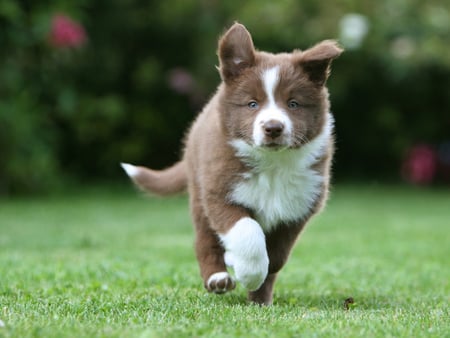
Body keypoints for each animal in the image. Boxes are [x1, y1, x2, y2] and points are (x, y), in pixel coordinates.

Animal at [121, 22, 342, 304]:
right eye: (252, 104)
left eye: (293, 104)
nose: (273, 128)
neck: (272, 164)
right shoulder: (219, 191)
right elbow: (247, 231)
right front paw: (249, 272)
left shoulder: (300, 205)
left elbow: (276, 255)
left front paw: (257, 286)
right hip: (199, 193)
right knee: (204, 240)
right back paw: (217, 277)